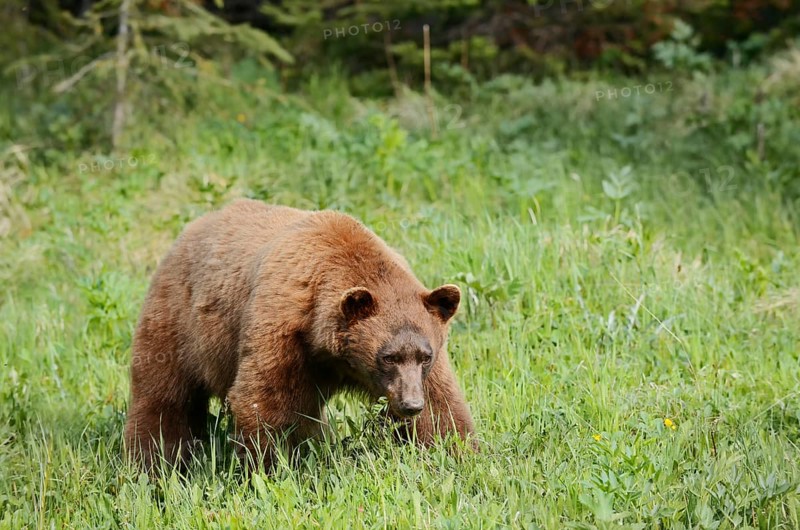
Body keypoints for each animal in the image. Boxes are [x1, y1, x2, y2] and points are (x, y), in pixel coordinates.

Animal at [124, 199, 475, 470]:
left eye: (425, 355)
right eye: (388, 356)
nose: (410, 404)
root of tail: (188, 231)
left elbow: (442, 407)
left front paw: (458, 455)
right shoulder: (282, 328)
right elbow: (263, 400)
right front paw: (270, 468)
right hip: (179, 321)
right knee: (164, 394)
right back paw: (153, 463)